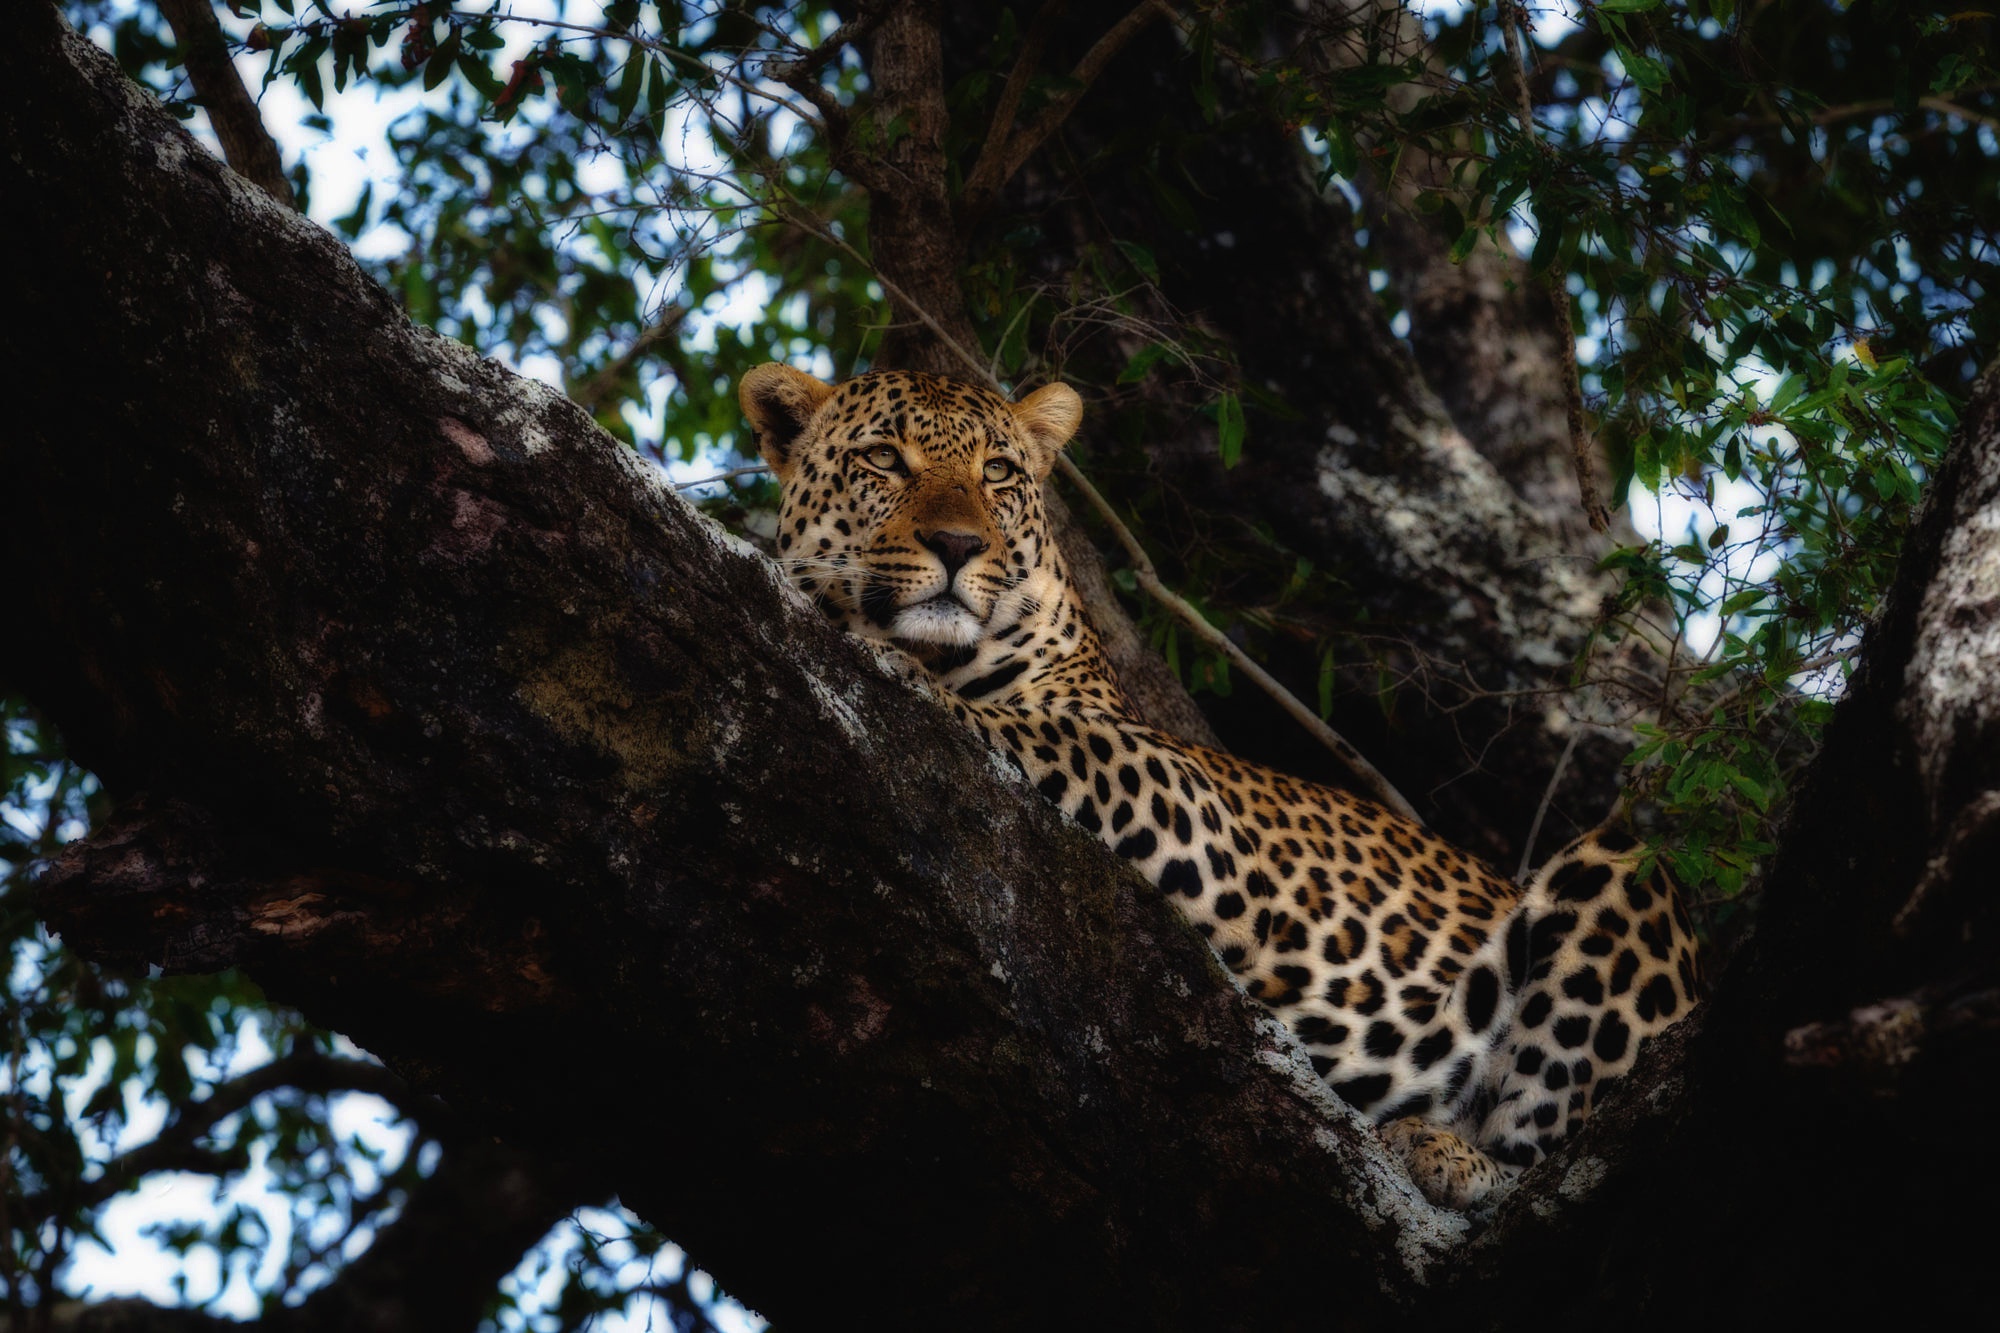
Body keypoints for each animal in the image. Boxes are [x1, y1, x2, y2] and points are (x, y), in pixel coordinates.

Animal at [740, 360, 1704, 1200]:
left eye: (999, 472)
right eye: (882, 460)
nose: (956, 544)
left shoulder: (1176, 790)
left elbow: (1036, 726)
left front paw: (894, 665)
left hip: (1628, 873)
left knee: (1554, 1159)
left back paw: (1448, 1153)